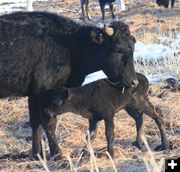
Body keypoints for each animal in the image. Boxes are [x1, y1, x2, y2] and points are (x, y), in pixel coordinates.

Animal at [0, 11, 137, 160]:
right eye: (117, 49)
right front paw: (57, 155)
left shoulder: (34, 95)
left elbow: (35, 123)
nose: (134, 82)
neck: (70, 45)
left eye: (133, 48)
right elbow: (49, 124)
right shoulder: (44, 94)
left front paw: (37, 154)